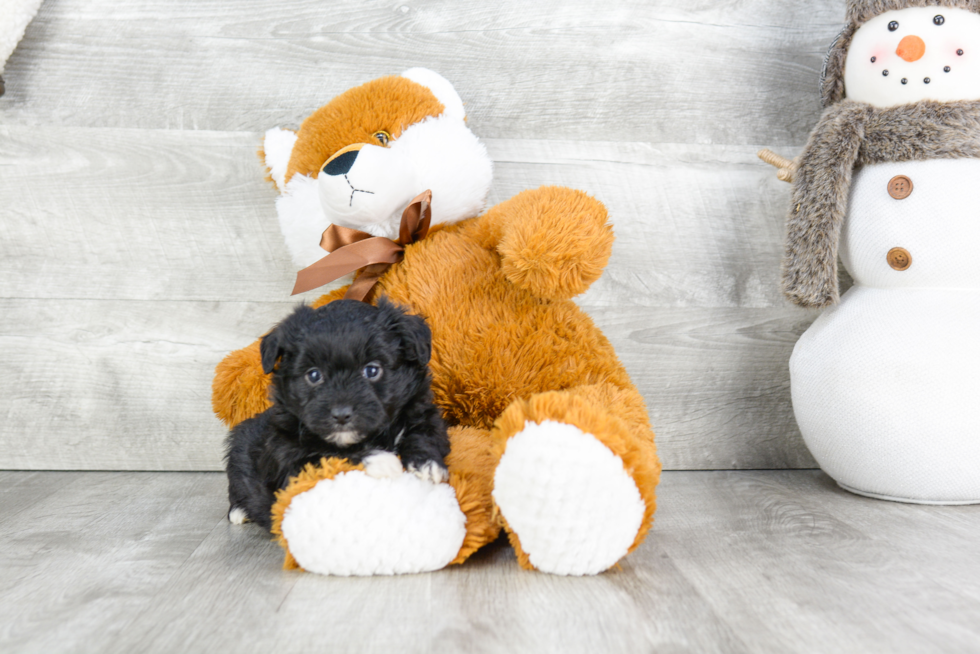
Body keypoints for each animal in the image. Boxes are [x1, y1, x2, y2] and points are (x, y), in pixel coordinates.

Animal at [225, 300, 448, 532]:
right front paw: (381, 460)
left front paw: (427, 463)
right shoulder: (289, 459)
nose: (341, 415)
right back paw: (239, 511)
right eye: (314, 375)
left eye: (372, 370)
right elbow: (331, 454)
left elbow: (422, 435)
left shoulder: (425, 417)